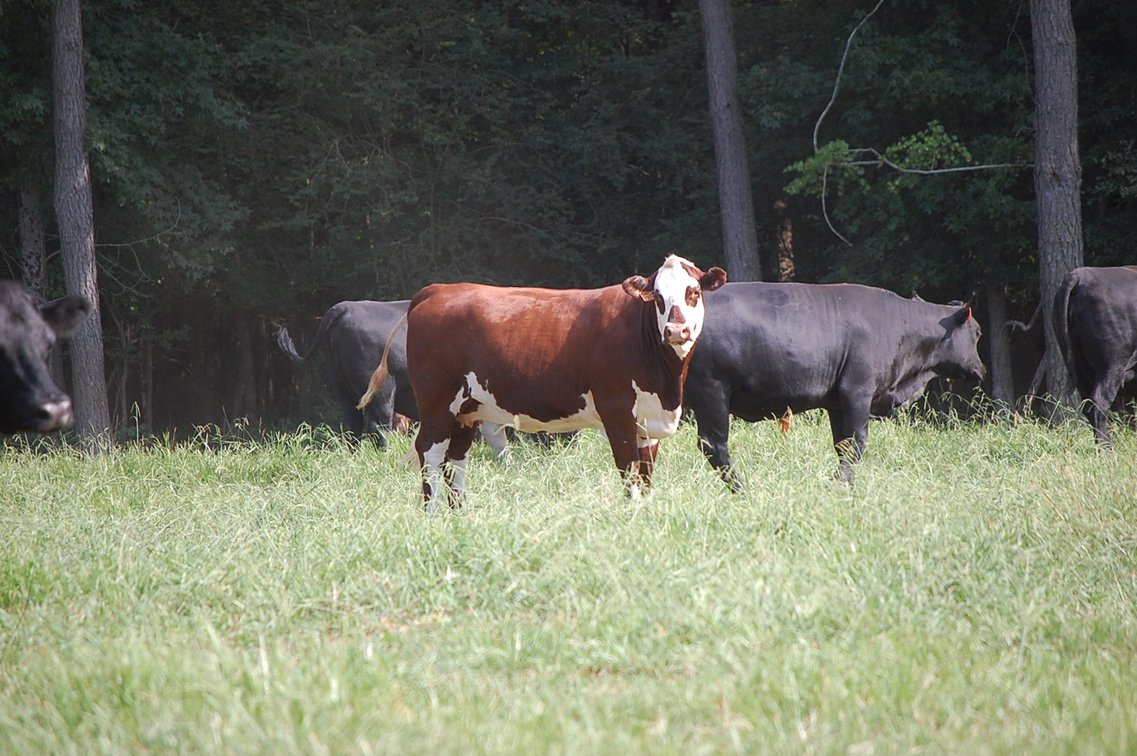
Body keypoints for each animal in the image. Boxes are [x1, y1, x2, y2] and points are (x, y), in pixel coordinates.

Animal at [358, 254, 728, 511]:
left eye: (693, 292)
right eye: (658, 297)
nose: (676, 330)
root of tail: (439, 290)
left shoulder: (648, 422)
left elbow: (646, 473)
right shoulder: (618, 413)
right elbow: (628, 470)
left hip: (467, 410)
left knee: (456, 460)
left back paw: (459, 515)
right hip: (437, 404)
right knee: (431, 455)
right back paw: (433, 515)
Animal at [683, 281, 986, 489]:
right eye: (978, 332)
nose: (981, 370)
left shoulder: (837, 403)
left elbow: (842, 445)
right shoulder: (858, 392)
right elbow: (855, 443)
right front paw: (839, 485)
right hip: (711, 392)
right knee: (714, 445)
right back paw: (742, 490)